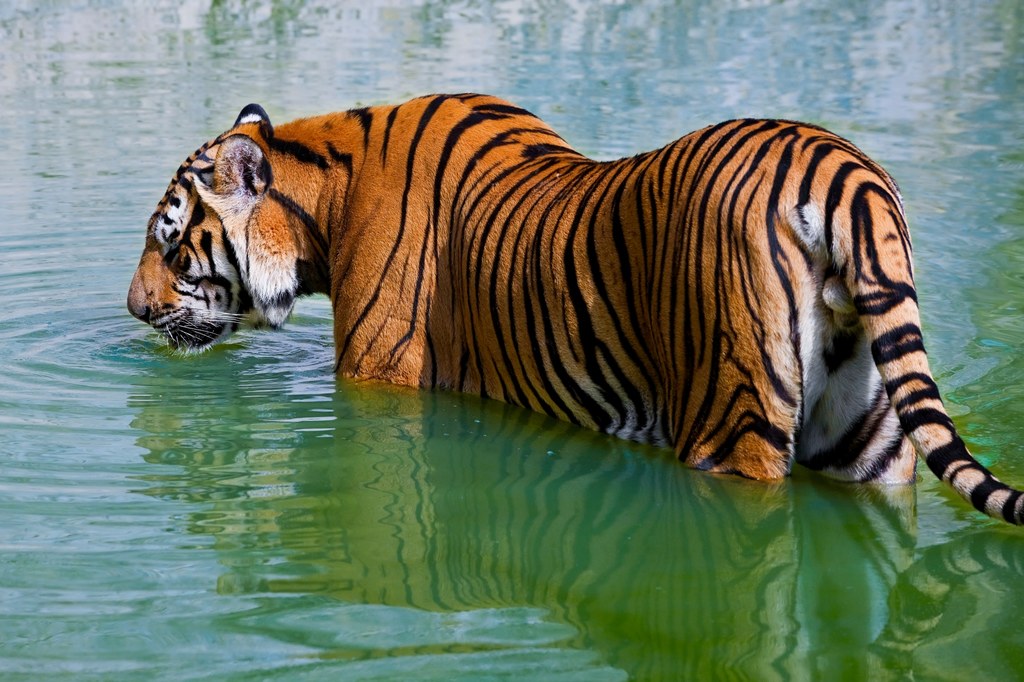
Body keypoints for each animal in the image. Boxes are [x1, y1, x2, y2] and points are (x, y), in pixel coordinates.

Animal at [128, 93, 1024, 522]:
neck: (325, 193)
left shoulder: (379, 381)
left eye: (170, 244)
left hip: (731, 423)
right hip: (869, 444)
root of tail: (843, 170)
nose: (133, 310)